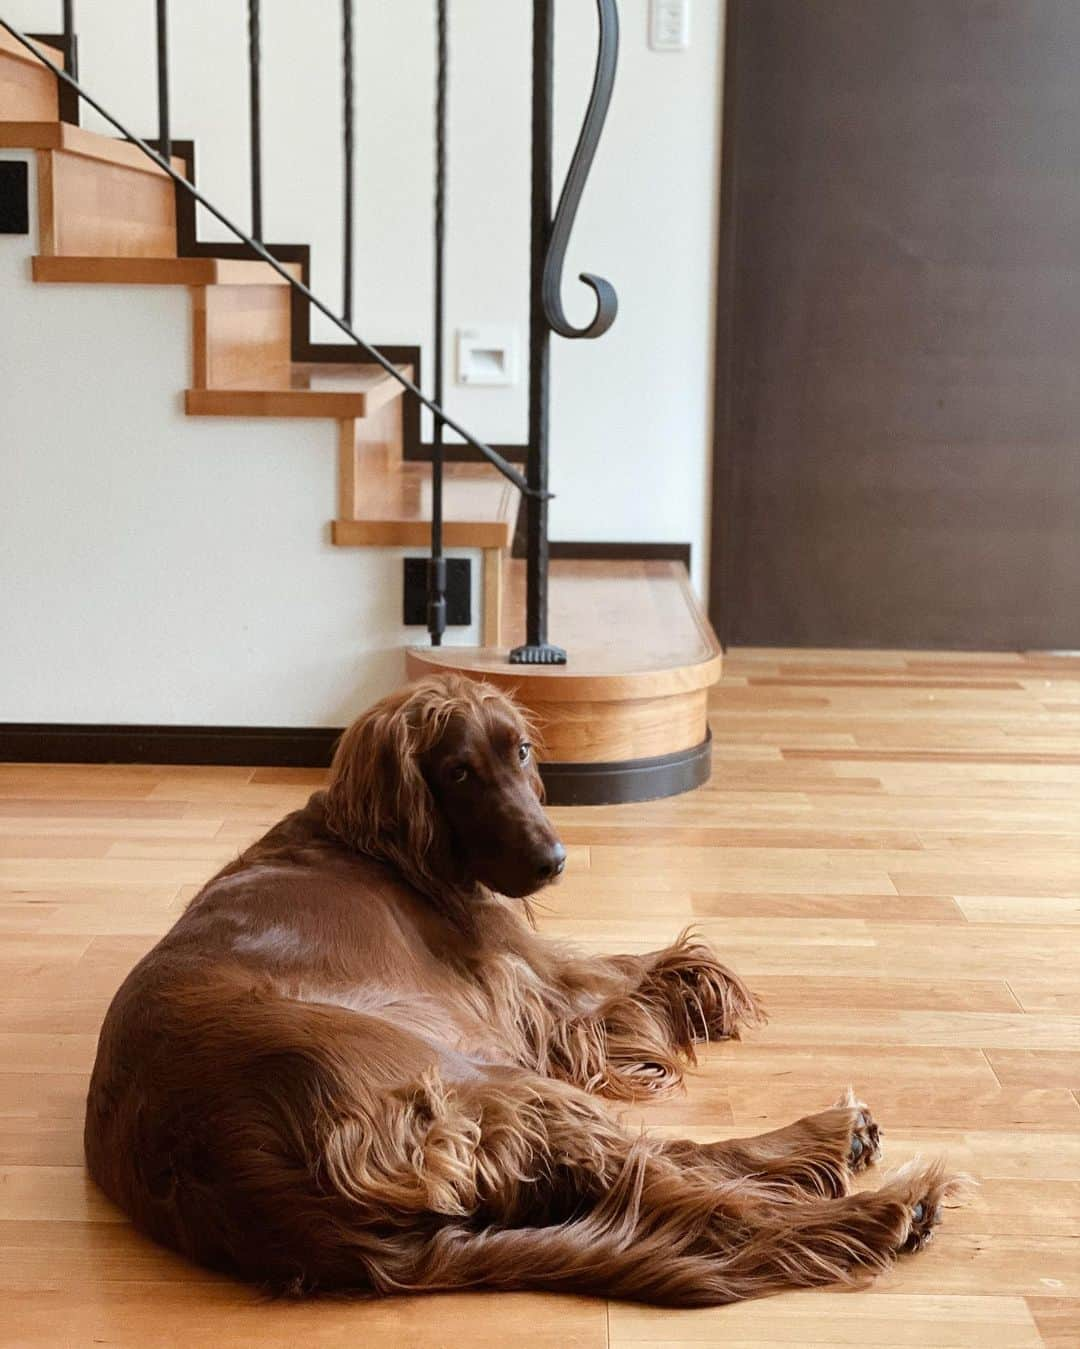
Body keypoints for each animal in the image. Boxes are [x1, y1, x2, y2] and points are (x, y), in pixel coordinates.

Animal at [84, 679, 960, 1300]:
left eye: (525, 751)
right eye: (458, 770)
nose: (554, 859)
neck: (378, 841)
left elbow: (613, 962)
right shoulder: (525, 983)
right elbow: (616, 972)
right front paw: (697, 980)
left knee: (664, 1168)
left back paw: (836, 1151)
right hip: (484, 1081)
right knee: (685, 1182)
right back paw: (868, 1197)